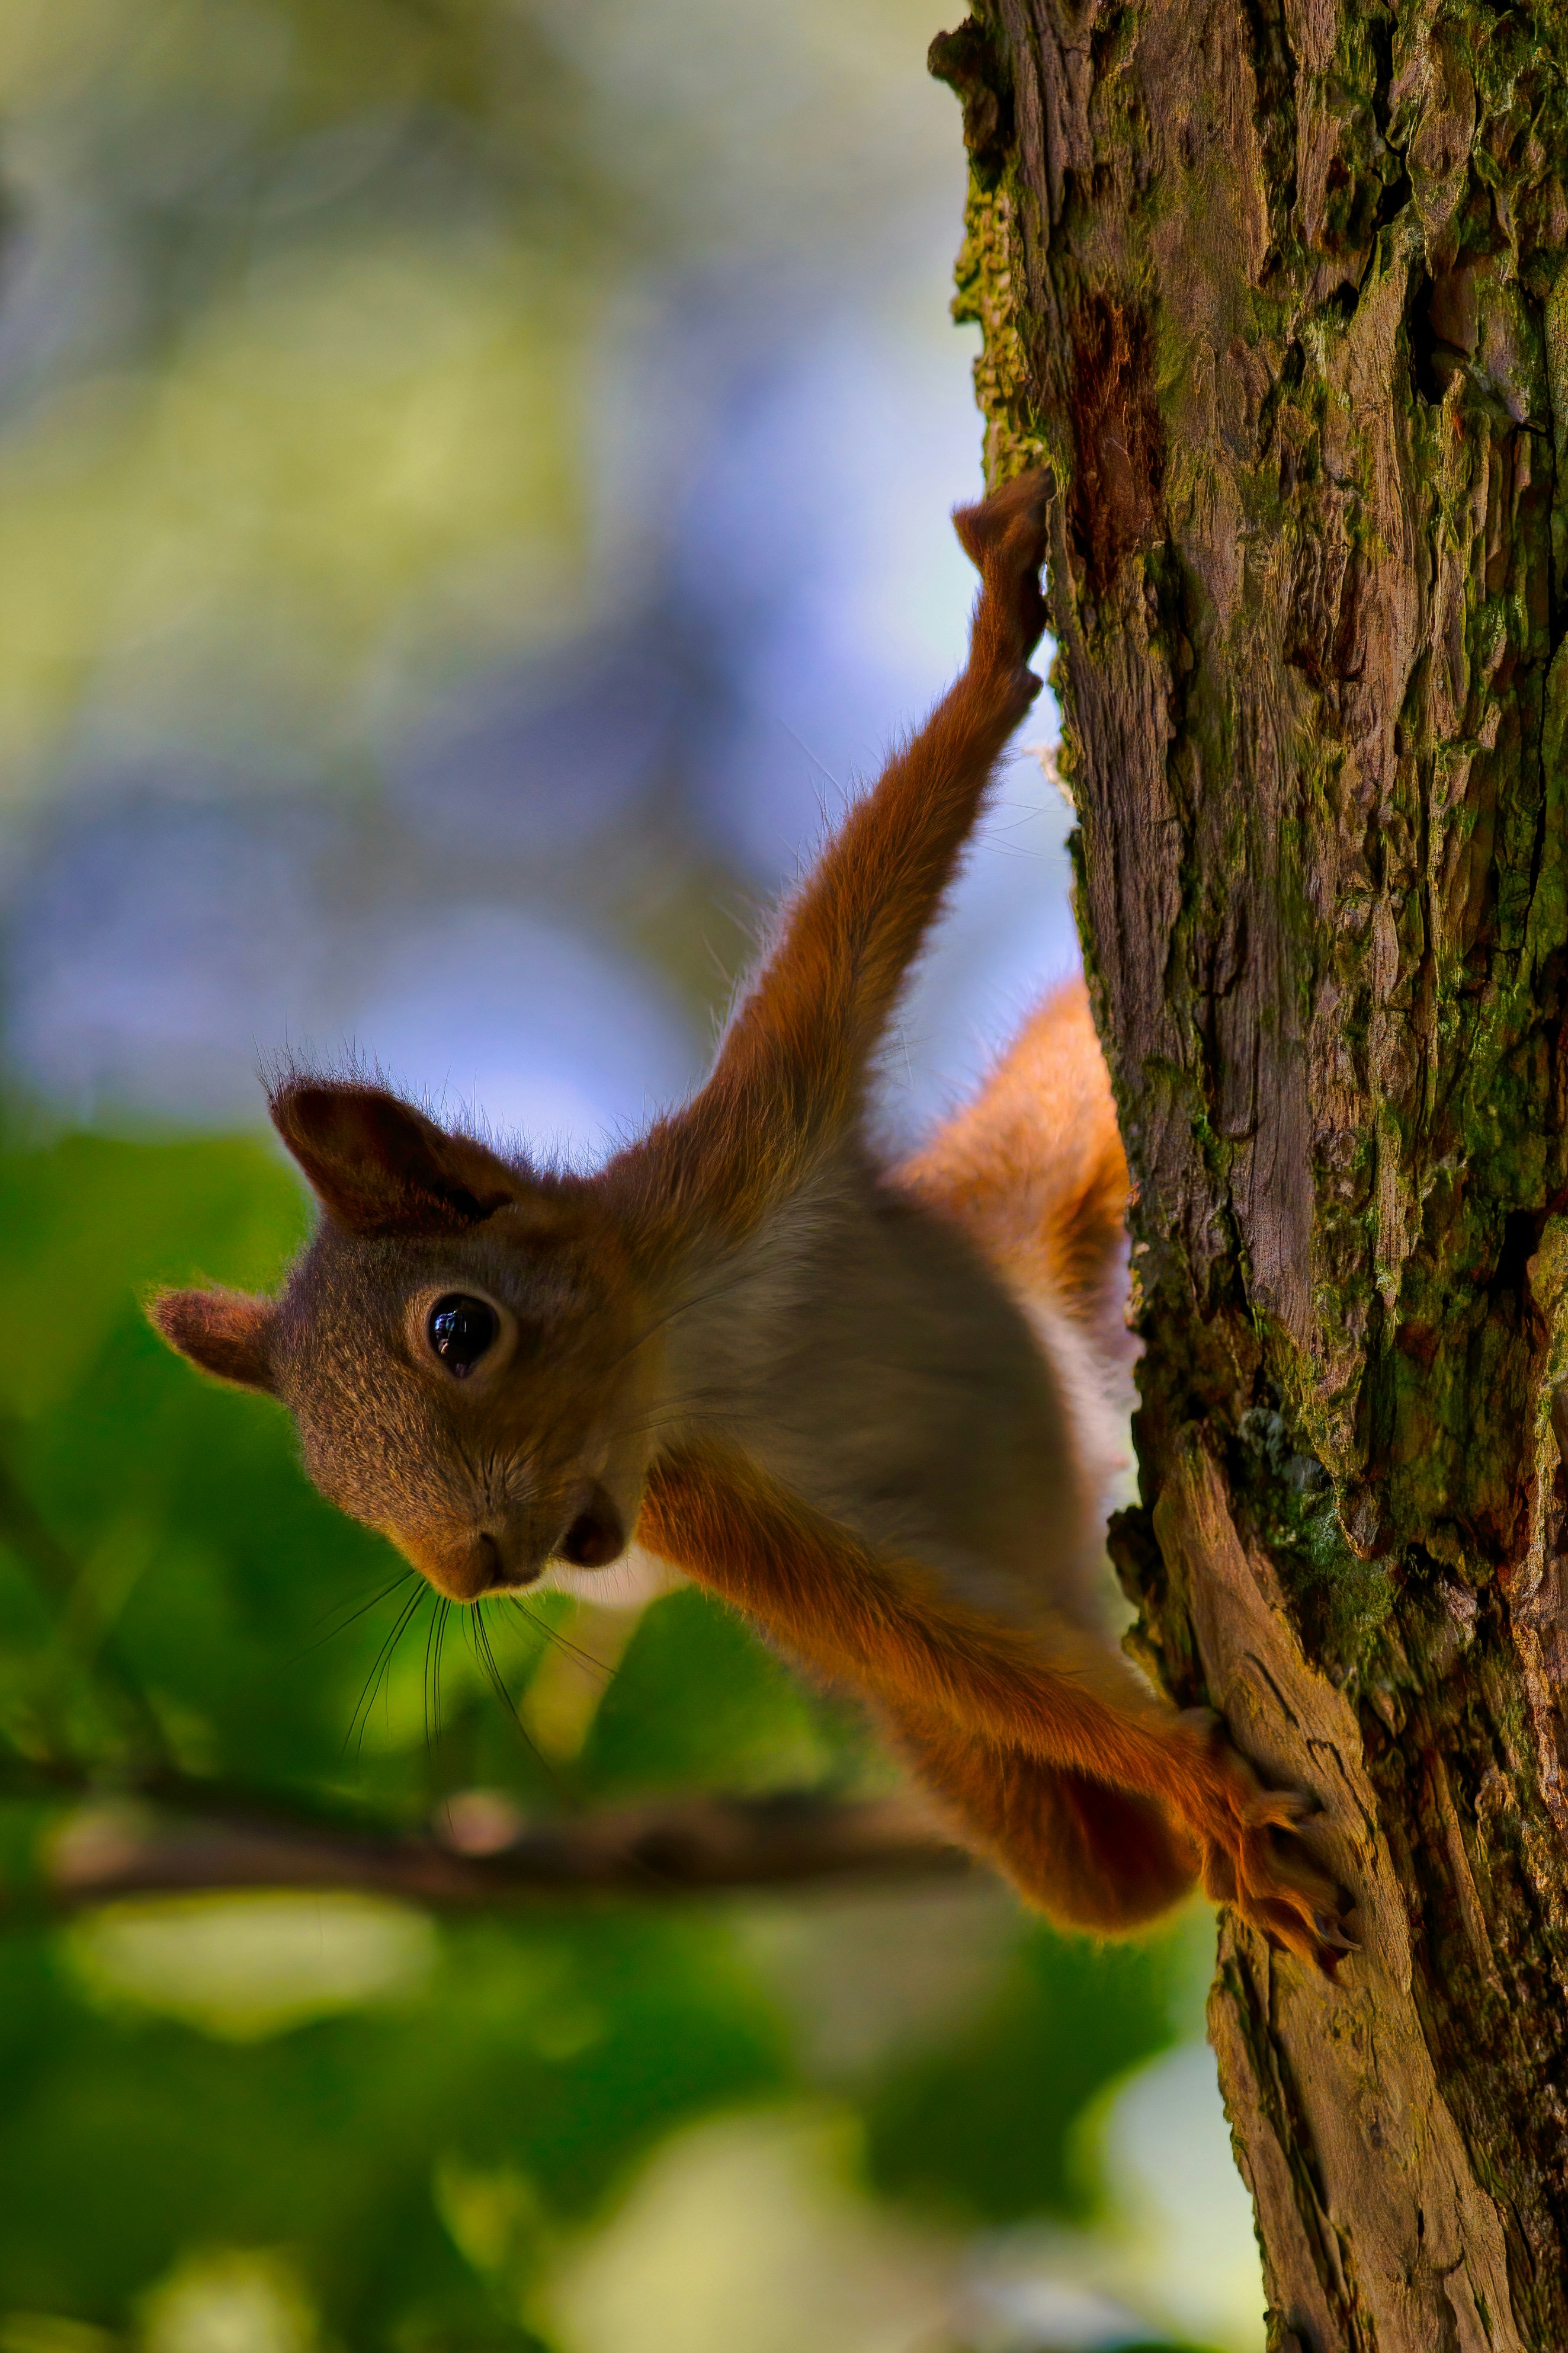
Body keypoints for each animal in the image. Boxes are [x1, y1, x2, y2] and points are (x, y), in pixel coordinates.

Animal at [152, 471, 1349, 1968]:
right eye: (336, 1488)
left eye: (459, 1329)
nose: (479, 1572)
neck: (695, 1338)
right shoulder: (706, 1508)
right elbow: (909, 1630)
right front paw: (1199, 1788)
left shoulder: (748, 1139)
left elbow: (865, 900)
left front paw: (988, 647)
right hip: (977, 1762)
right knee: (1100, 1875)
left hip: (1029, 1192)